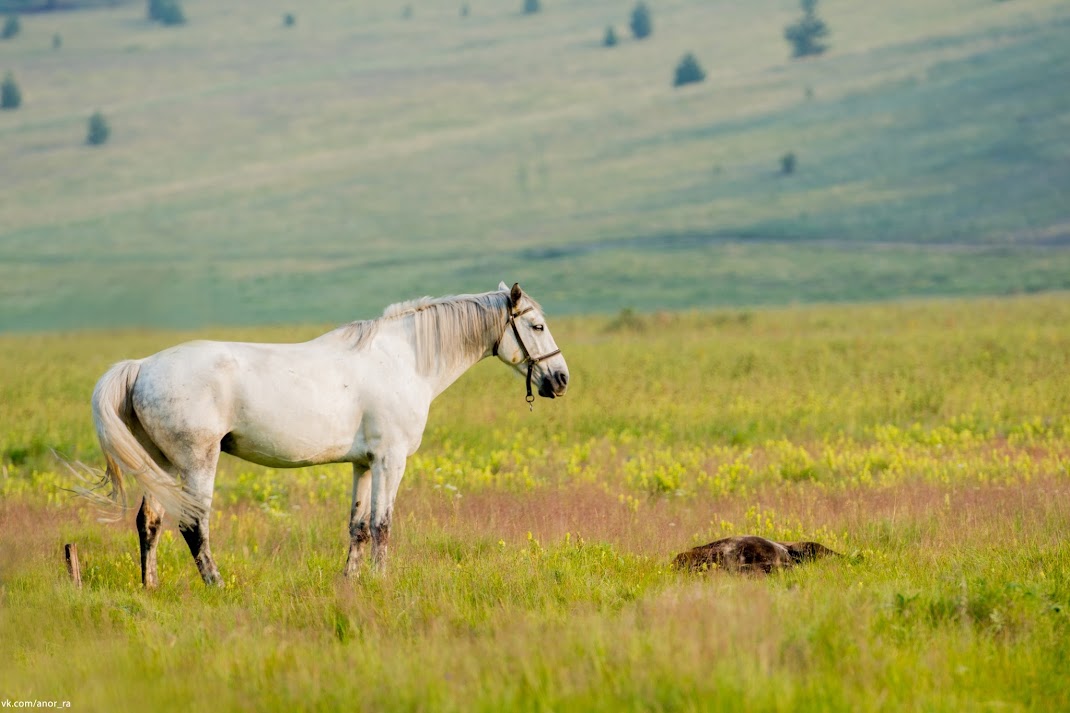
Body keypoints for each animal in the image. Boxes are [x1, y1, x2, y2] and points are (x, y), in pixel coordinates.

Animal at [92, 280, 573, 586]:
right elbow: (383, 524)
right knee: (194, 525)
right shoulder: (391, 460)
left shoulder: (364, 464)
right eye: (536, 326)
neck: (405, 358)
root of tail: (142, 366)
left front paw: (351, 582)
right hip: (196, 462)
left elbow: (358, 527)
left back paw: (150, 587)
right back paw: (217, 584)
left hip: (161, 463)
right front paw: (381, 581)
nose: (561, 379)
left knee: (150, 521)